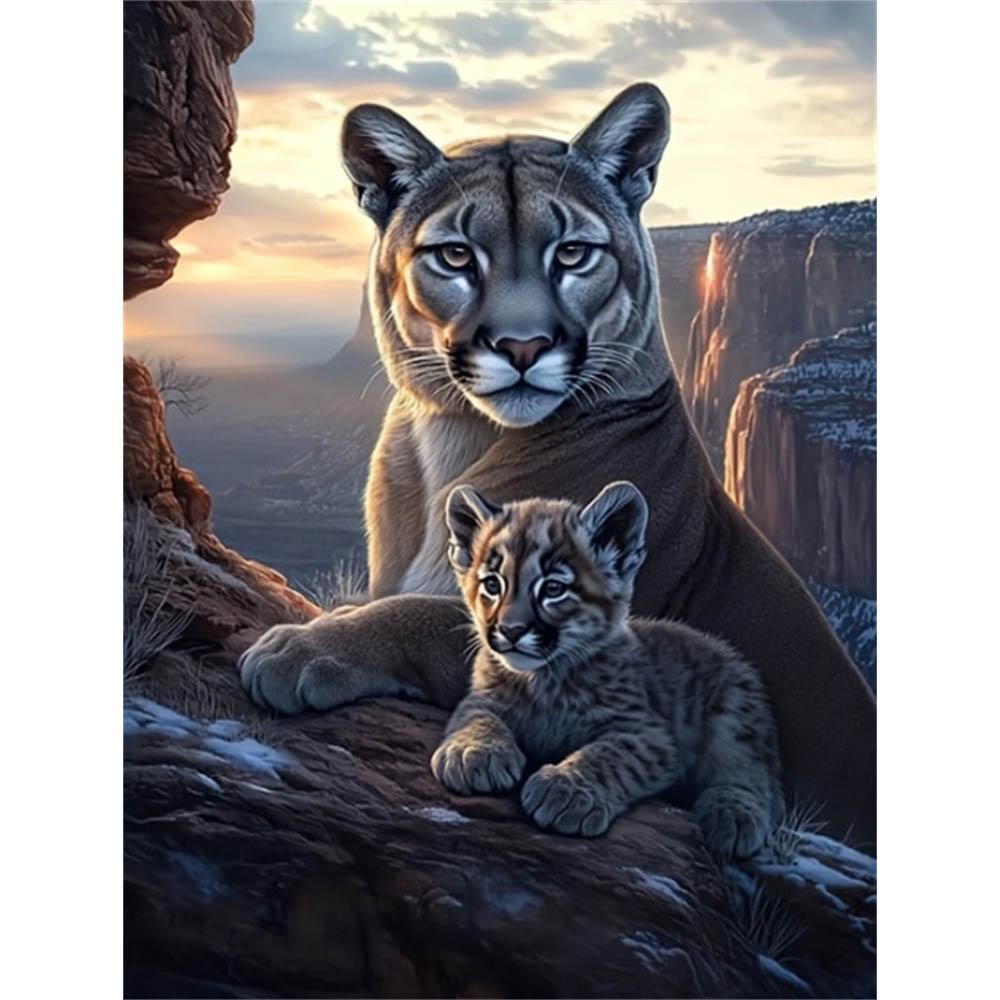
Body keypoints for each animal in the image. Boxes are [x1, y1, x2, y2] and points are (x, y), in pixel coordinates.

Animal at [432, 480, 784, 858]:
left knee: (751, 774)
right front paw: (473, 753)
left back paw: (732, 816)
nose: (510, 631)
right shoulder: (482, 696)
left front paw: (566, 790)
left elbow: (608, 755)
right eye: (492, 584)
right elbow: (475, 716)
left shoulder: (648, 733)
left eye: (553, 588)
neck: (543, 679)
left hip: (735, 711)